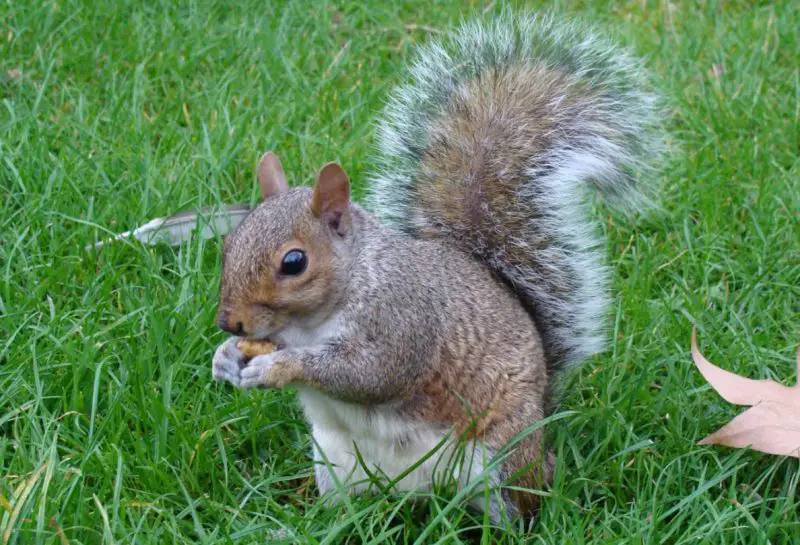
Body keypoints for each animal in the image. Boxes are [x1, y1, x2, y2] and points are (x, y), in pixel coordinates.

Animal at [212, 12, 663, 521]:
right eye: (230, 241)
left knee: (521, 506)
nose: (229, 322)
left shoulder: (405, 321)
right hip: (335, 465)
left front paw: (278, 367)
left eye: (294, 262)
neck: (314, 320)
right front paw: (224, 358)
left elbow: (370, 373)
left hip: (503, 460)